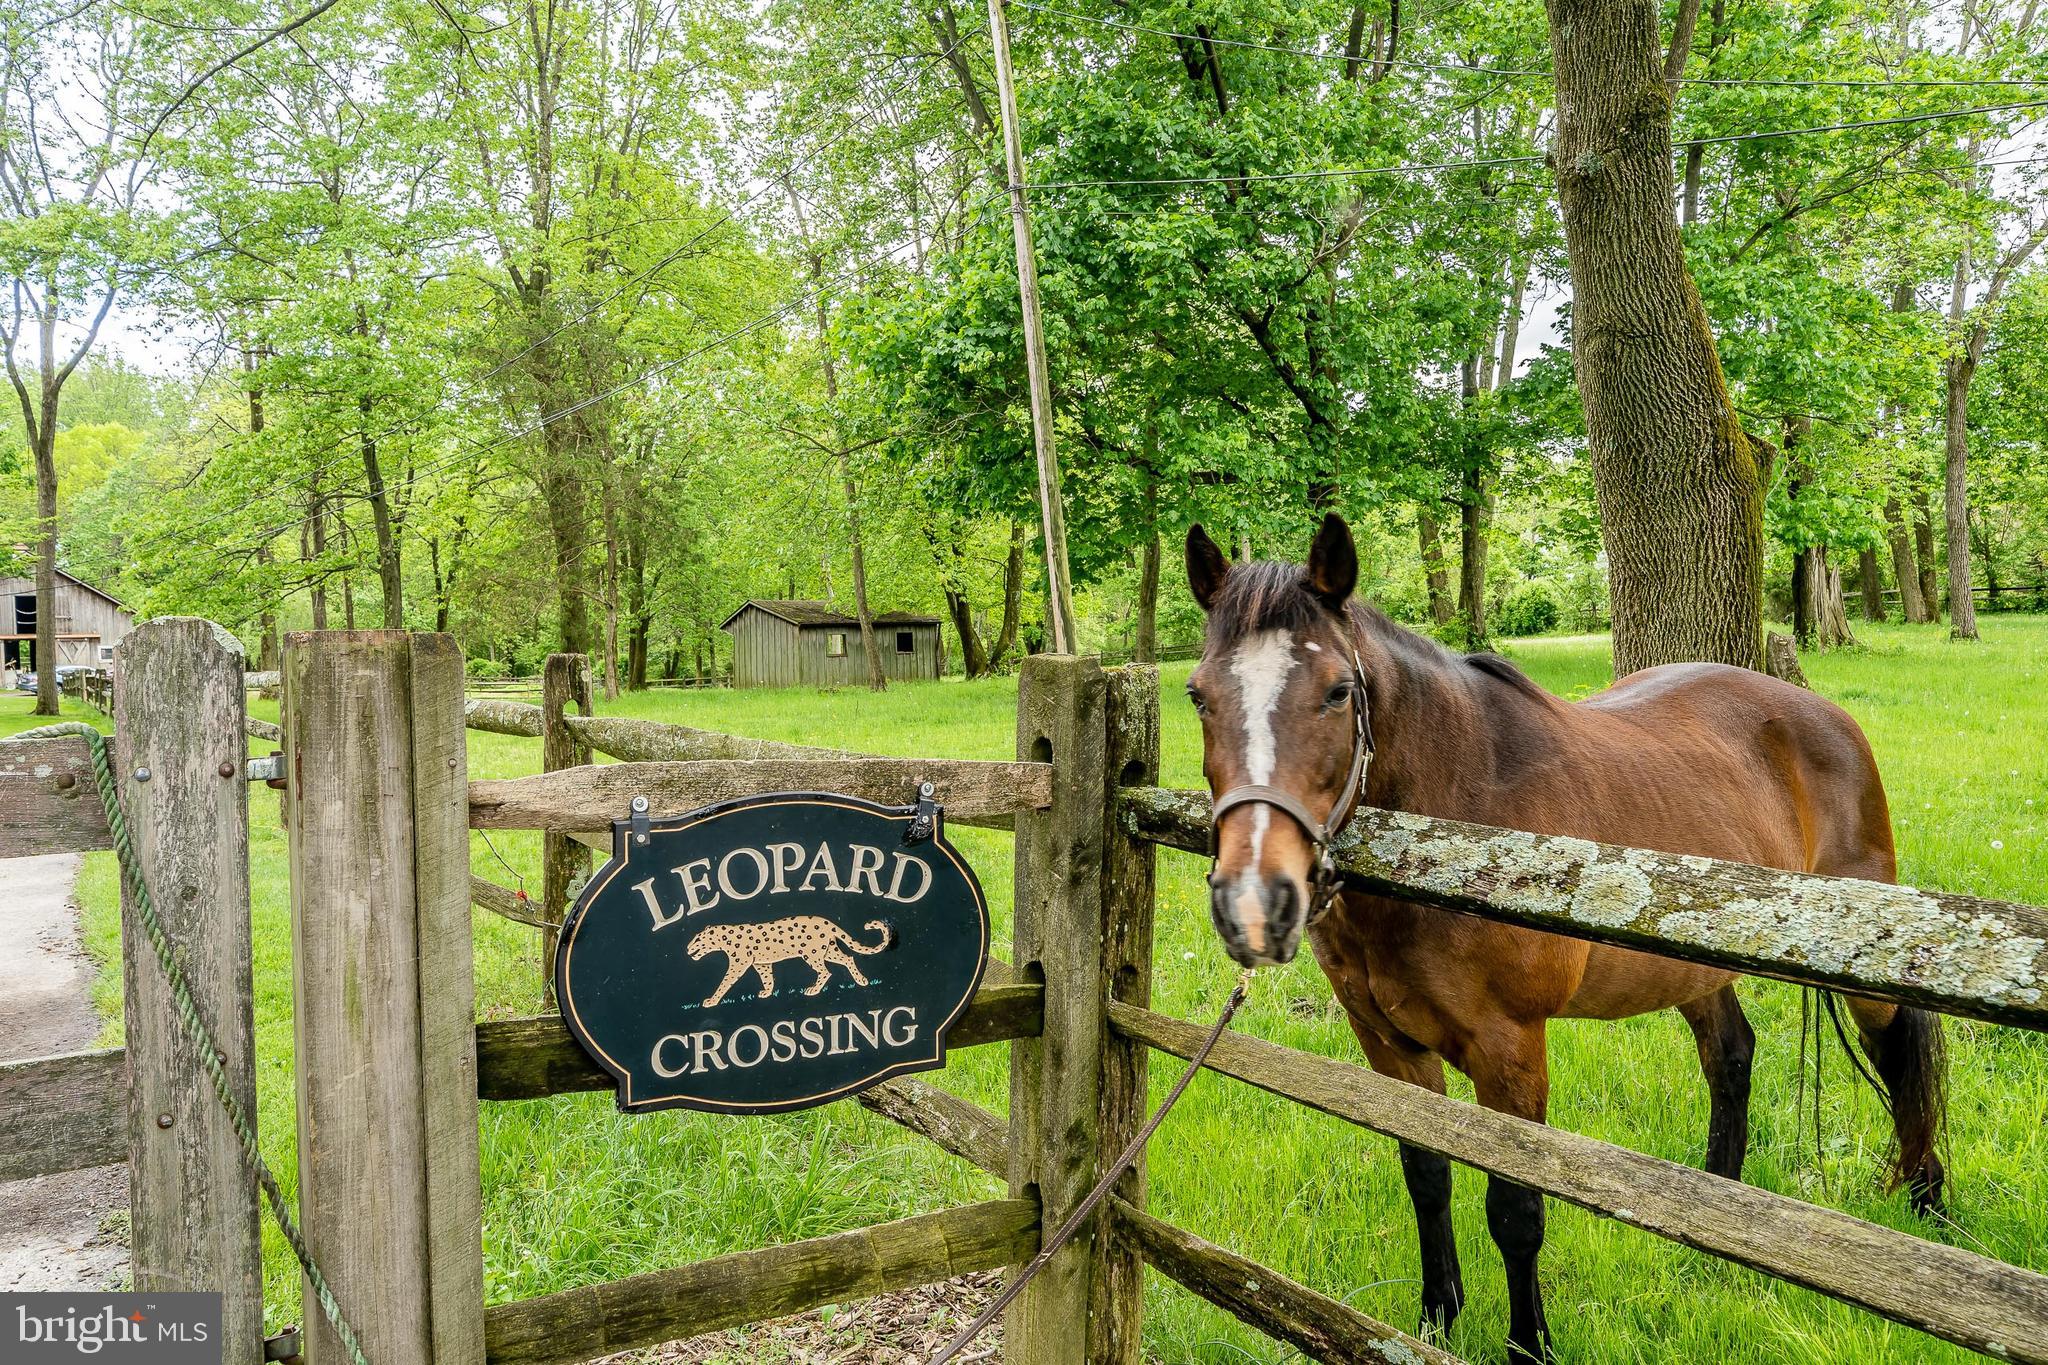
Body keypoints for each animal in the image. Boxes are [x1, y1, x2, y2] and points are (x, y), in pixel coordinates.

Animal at [686, 916, 894, 1007]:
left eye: (696, 939)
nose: (687, 948)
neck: (722, 939)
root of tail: (826, 921)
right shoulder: (761, 964)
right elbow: (767, 978)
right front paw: (767, 992)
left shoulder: (738, 964)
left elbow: (724, 982)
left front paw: (712, 1000)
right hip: (829, 951)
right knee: (848, 958)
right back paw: (862, 981)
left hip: (812, 954)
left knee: (826, 971)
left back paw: (813, 990)